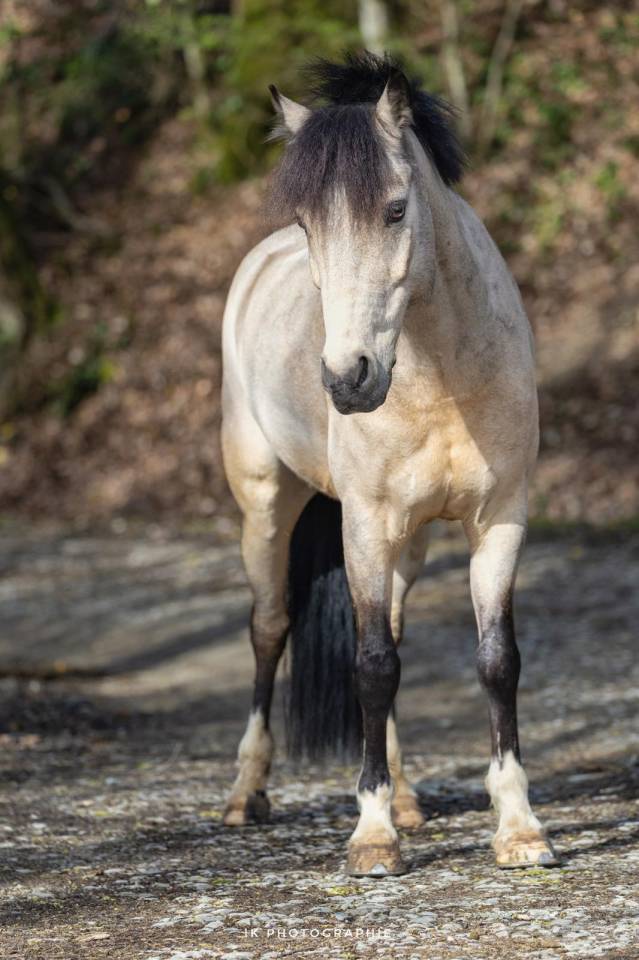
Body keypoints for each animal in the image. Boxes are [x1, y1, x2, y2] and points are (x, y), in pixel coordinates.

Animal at [220, 52, 558, 877]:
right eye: (308, 223)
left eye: (396, 210)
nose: (347, 379)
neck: (439, 375)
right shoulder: (365, 525)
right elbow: (370, 666)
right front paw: (371, 838)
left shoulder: (497, 522)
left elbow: (494, 659)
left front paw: (518, 828)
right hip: (266, 507)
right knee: (269, 629)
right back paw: (248, 794)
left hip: (410, 538)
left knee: (394, 635)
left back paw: (405, 797)